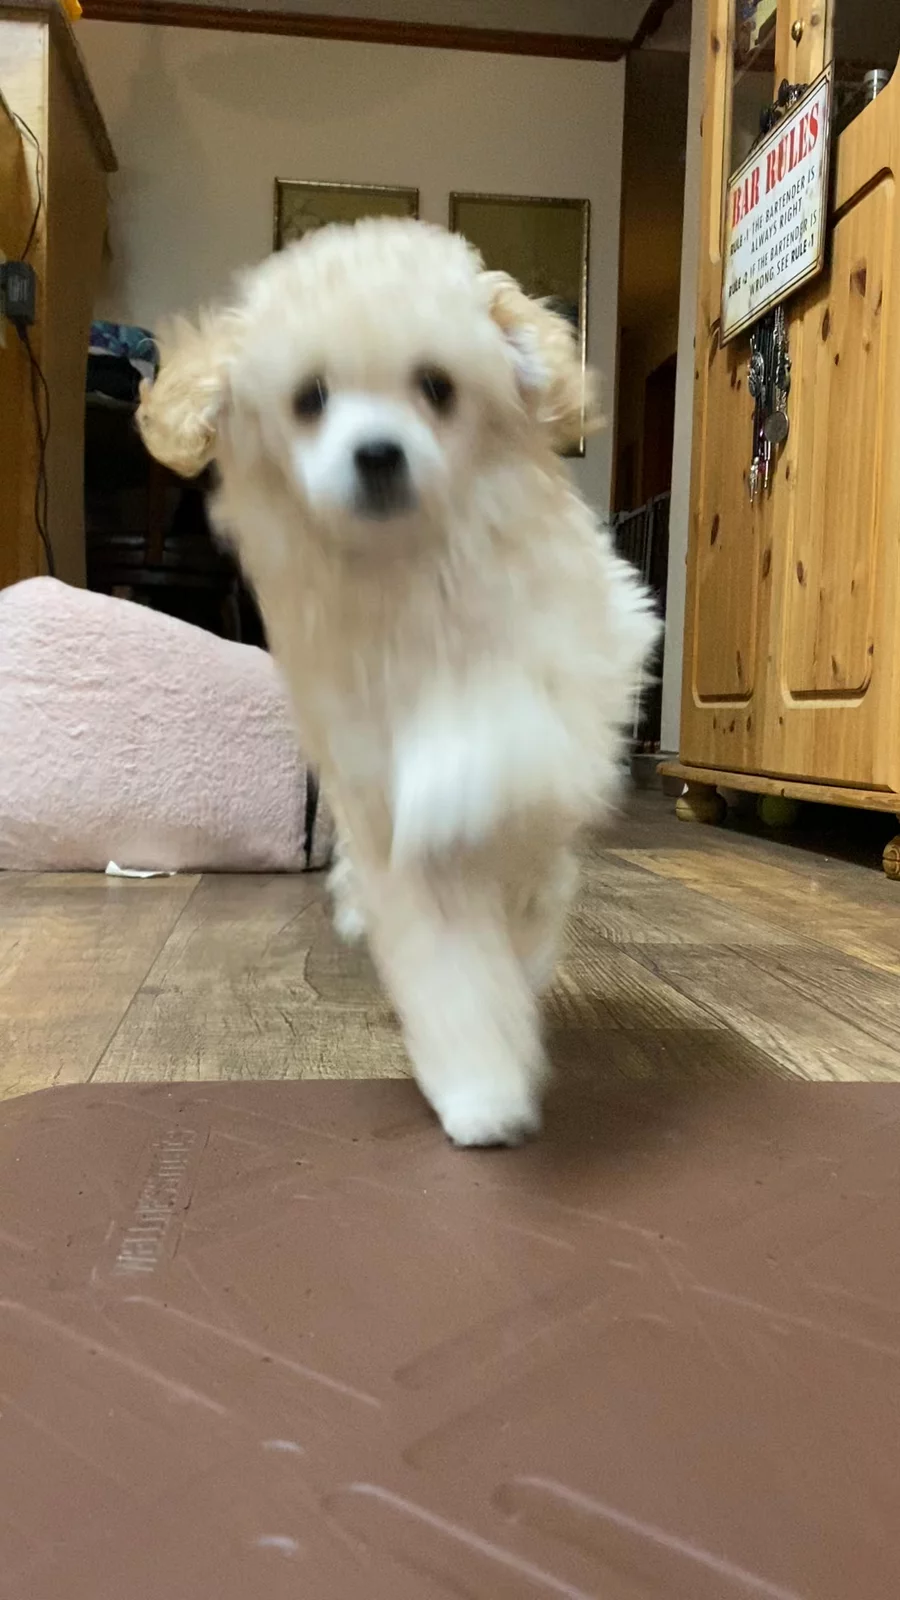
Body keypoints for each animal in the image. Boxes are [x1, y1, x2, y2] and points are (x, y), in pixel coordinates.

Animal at [137, 218, 659, 1146]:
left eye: (437, 388)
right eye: (311, 398)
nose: (377, 454)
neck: (408, 562)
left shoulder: (585, 640)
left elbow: (508, 724)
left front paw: (459, 781)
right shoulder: (365, 764)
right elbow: (446, 956)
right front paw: (482, 1089)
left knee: (538, 889)